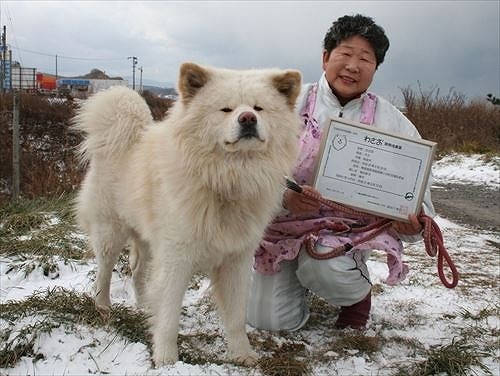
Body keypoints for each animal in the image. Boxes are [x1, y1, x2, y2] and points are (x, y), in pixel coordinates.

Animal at [73, 63, 300, 366]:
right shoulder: (176, 258)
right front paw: (166, 359)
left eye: (258, 108)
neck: (227, 180)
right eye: (226, 109)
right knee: (104, 272)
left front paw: (242, 354)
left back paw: (144, 306)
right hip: (111, 232)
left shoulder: (236, 260)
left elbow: (236, 317)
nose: (248, 119)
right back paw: (103, 307)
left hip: (147, 240)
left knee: (138, 271)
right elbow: (169, 316)